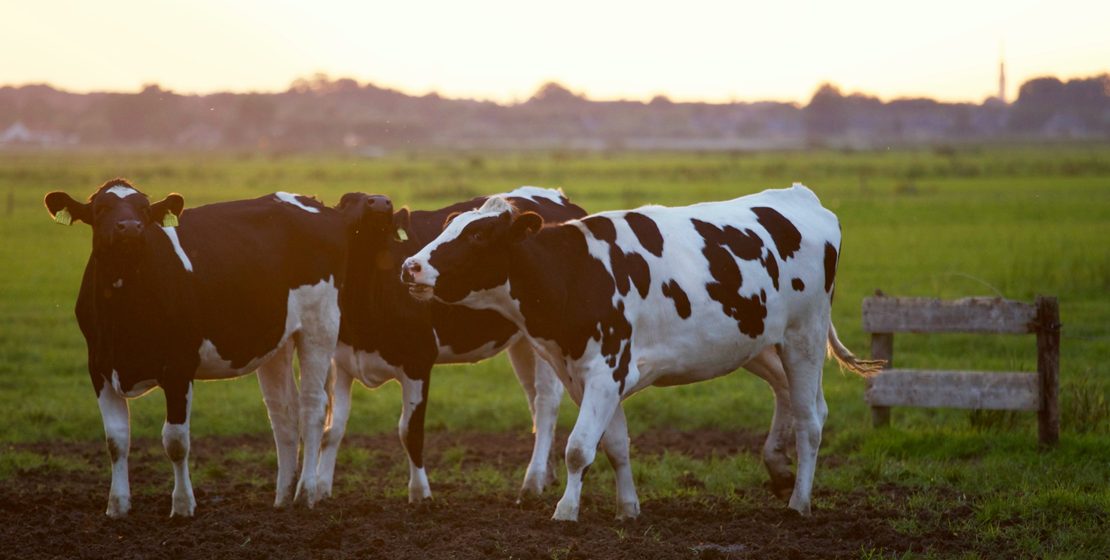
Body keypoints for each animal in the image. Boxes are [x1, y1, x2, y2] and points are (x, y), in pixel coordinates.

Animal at [44, 179, 391, 517]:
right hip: (276, 341)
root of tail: (320, 206)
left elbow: (176, 440)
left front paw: (183, 505)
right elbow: (116, 439)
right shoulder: (99, 367)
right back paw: (281, 497)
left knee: (313, 408)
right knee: (283, 413)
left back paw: (305, 493)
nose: (129, 227)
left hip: (319, 325)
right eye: (101, 209)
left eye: (144, 209)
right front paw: (117, 506)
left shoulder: (179, 367)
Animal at [317, 186, 587, 502]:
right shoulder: (342, 361)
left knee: (545, 403)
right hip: (524, 342)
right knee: (533, 399)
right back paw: (546, 474)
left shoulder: (418, 360)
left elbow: (410, 431)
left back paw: (532, 482)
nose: (381, 203)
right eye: (347, 201)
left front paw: (420, 494)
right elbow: (332, 429)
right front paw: (319, 490)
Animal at [401, 183, 883, 521]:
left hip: (804, 336)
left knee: (811, 420)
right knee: (792, 397)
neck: (575, 273)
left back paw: (800, 501)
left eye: (479, 235)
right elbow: (614, 445)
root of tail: (801, 197)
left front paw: (566, 510)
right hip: (758, 342)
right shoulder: (590, 376)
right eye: (448, 226)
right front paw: (627, 508)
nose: (410, 266)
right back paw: (778, 469)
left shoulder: (605, 370)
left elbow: (578, 448)